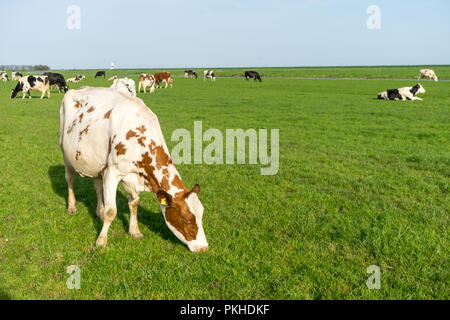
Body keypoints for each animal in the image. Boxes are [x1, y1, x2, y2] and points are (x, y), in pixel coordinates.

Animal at [58, 86, 209, 251]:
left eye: (202, 215)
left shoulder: (130, 175)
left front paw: (134, 231)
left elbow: (134, 204)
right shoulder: (112, 172)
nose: (203, 247)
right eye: (186, 219)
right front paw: (101, 241)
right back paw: (72, 206)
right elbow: (112, 211)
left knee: (97, 186)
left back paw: (99, 211)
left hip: (97, 164)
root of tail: (78, 88)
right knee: (69, 180)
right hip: (66, 154)